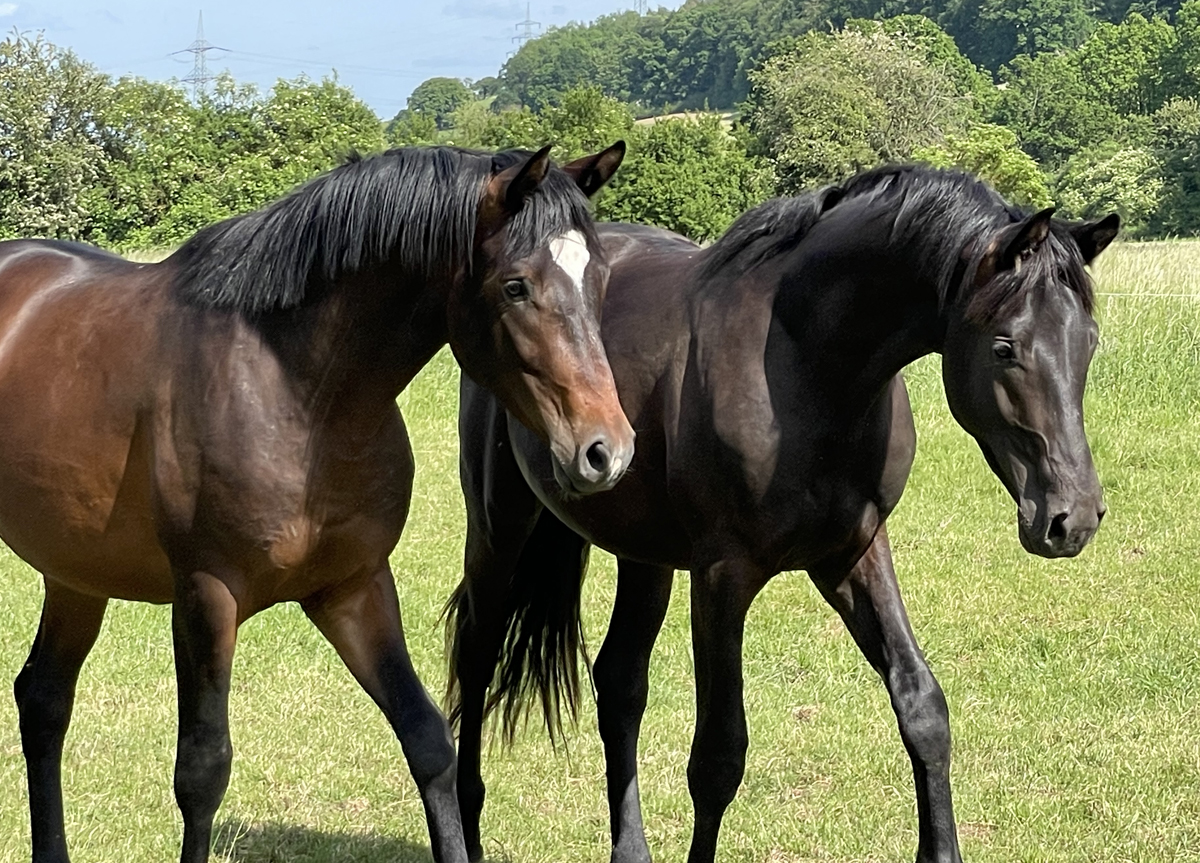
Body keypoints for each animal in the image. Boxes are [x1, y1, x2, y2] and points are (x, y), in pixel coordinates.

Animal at [2, 143, 638, 863]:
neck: (297, 392)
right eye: (516, 286)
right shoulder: (205, 596)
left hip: (75, 574)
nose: (606, 450)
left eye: (600, 279)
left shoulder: (353, 588)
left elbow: (427, 739)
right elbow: (201, 771)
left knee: (44, 698)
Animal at [446, 166, 1118, 863]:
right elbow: (717, 756)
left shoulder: (853, 552)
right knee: (475, 655)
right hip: (500, 529)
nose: (1072, 517)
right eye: (1006, 347)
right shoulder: (723, 576)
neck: (806, 365)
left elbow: (922, 707)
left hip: (643, 554)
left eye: (1089, 342)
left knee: (621, 684)